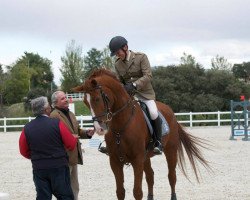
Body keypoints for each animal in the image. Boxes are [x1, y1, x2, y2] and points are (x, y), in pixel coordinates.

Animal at [72, 69, 209, 200]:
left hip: (171, 150)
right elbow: (120, 192)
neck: (121, 125)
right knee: (150, 177)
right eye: (85, 102)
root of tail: (170, 111)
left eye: (97, 99)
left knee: (172, 176)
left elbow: (137, 192)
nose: (99, 128)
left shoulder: (137, 160)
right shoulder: (115, 162)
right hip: (146, 157)